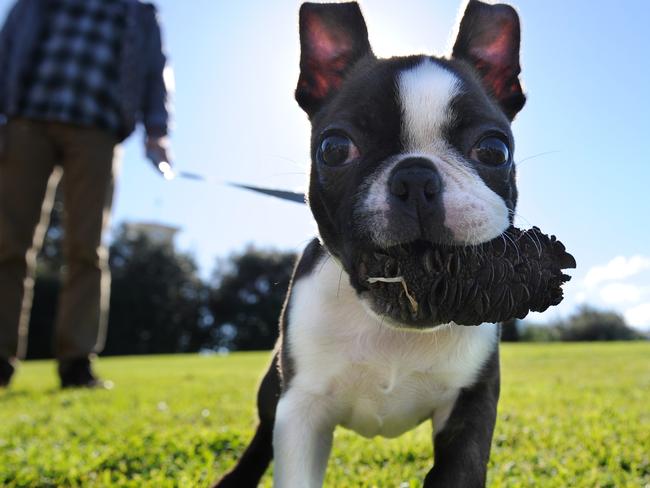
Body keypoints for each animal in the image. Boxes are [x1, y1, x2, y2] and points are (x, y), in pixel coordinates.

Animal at [218, 1, 528, 486]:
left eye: (495, 150)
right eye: (333, 148)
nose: (416, 178)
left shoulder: (472, 404)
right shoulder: (300, 409)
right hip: (272, 388)